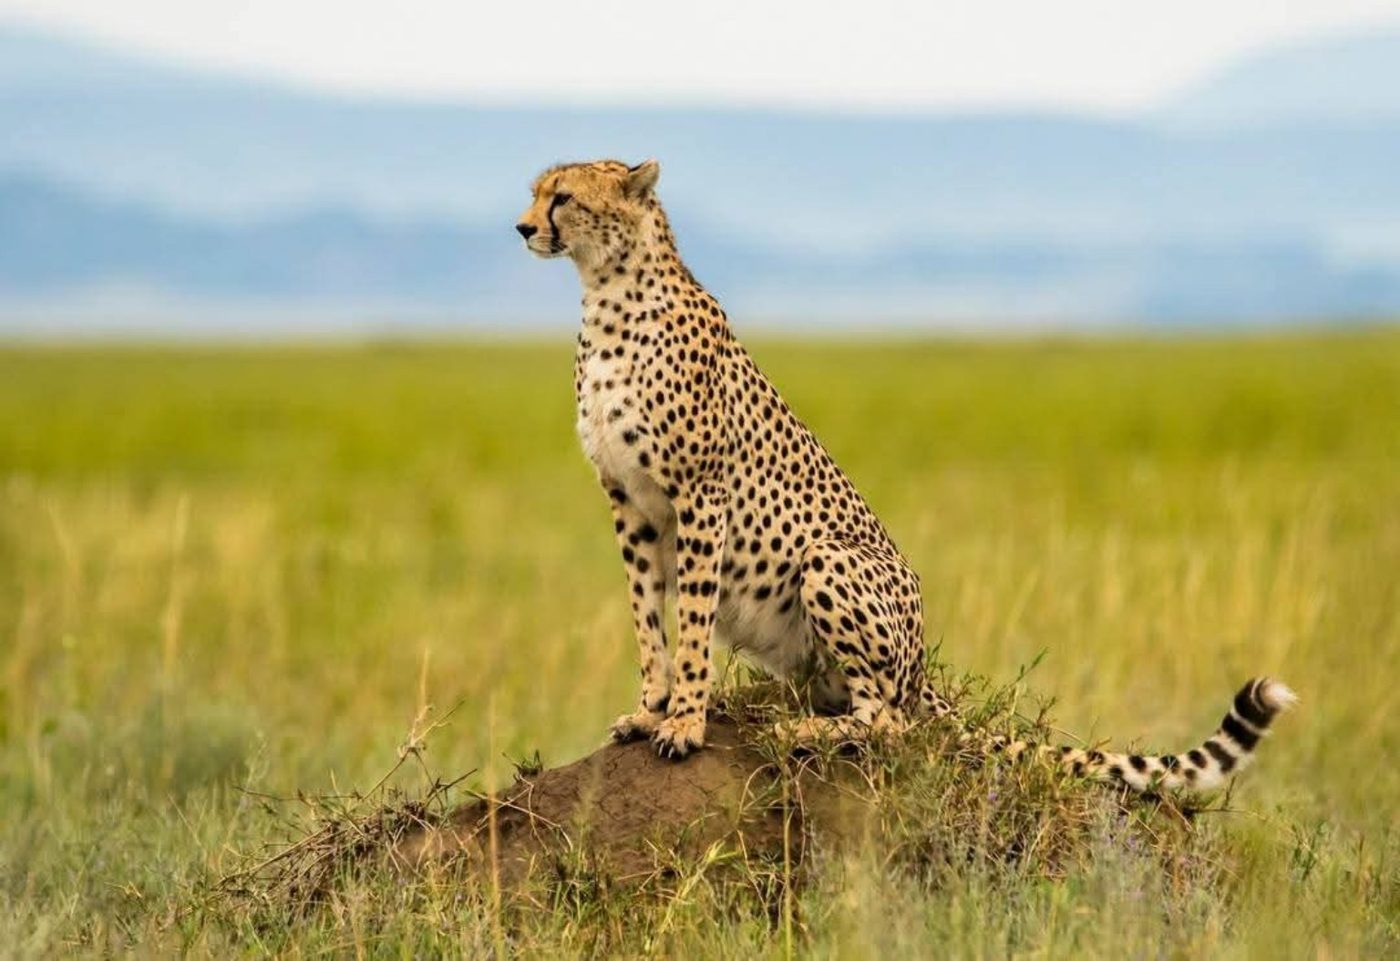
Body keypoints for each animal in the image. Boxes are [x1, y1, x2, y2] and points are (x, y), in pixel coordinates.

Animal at [514, 157, 1296, 793]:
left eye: (563, 197)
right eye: (536, 193)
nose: (522, 228)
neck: (608, 294)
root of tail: (921, 669)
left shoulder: (700, 494)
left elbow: (694, 618)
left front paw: (684, 722)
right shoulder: (630, 502)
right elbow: (647, 615)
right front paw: (648, 711)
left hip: (828, 559)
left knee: (887, 720)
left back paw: (809, 731)